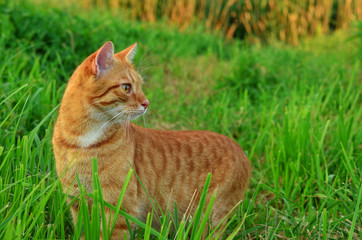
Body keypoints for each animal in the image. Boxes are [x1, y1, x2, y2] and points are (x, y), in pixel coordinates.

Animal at [52, 41, 252, 238]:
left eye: (140, 86)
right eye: (126, 87)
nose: (146, 103)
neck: (83, 140)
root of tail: (241, 151)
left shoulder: (120, 209)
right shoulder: (77, 201)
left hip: (208, 220)